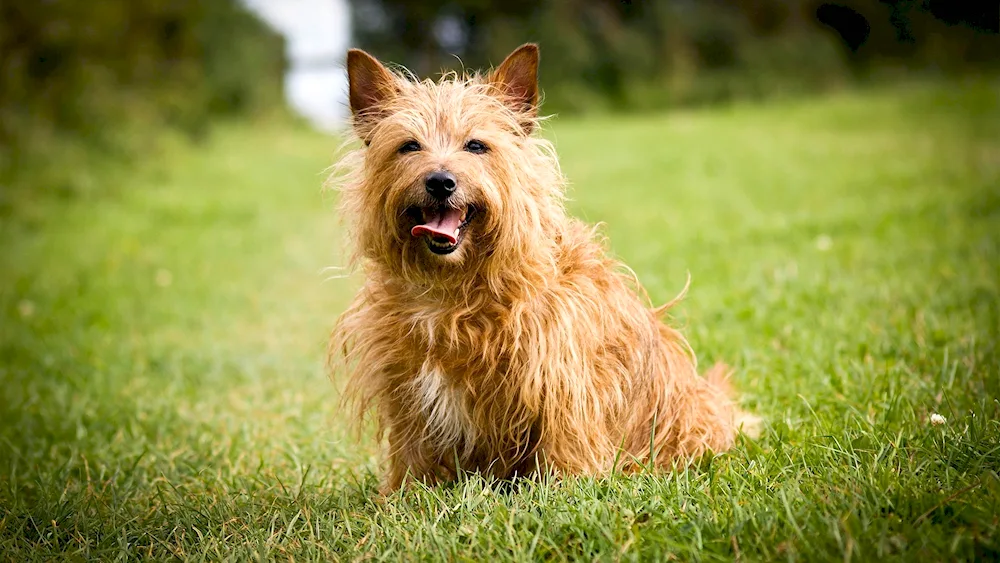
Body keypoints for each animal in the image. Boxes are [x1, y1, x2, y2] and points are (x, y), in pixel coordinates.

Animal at [330, 44, 756, 494]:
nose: (441, 181)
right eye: (409, 146)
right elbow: (413, 450)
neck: (452, 286)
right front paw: (405, 493)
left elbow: (564, 439)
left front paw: (566, 488)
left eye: (476, 146)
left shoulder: (561, 376)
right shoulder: (406, 387)